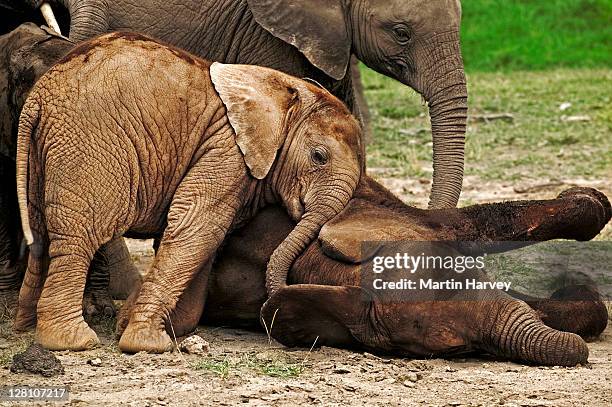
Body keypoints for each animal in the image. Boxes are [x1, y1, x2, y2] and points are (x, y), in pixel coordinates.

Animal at [14, 31, 364, 352]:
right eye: (318, 157)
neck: (283, 92)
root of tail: (38, 97)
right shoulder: (227, 150)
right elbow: (197, 226)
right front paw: (149, 344)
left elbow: (205, 240)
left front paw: (154, 328)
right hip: (88, 145)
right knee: (78, 239)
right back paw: (72, 341)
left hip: (42, 151)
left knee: (39, 233)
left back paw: (25, 325)